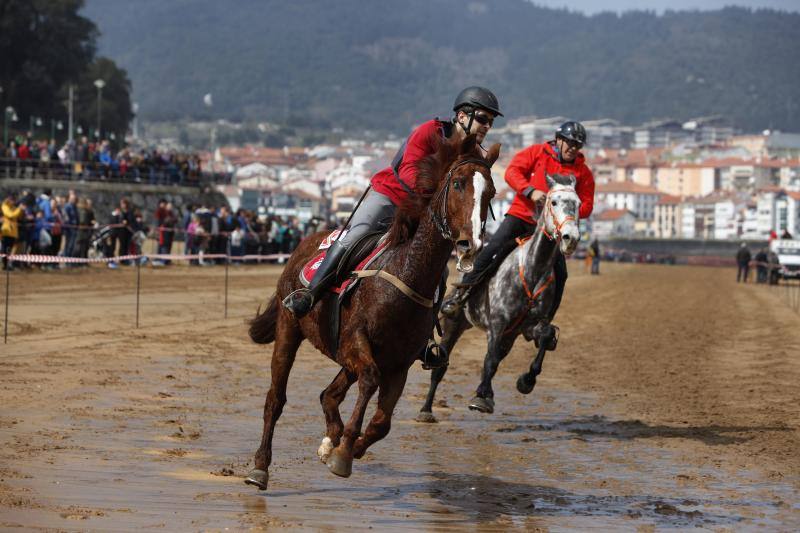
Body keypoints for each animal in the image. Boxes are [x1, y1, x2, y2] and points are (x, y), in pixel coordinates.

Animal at [244, 134, 496, 490]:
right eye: (458, 183)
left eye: (491, 192)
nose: (470, 244)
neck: (406, 272)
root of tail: (307, 243)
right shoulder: (358, 343)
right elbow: (370, 382)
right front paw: (344, 449)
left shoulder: (399, 363)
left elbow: (382, 422)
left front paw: (347, 450)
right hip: (289, 329)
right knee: (275, 400)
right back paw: (260, 468)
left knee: (329, 395)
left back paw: (330, 440)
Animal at [416, 172, 580, 418]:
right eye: (553, 202)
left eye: (579, 204)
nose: (571, 237)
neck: (532, 271)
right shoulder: (497, 322)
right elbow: (490, 360)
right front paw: (481, 397)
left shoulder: (526, 328)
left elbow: (544, 337)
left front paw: (526, 381)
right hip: (455, 323)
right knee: (442, 367)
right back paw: (426, 409)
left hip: (507, 336)